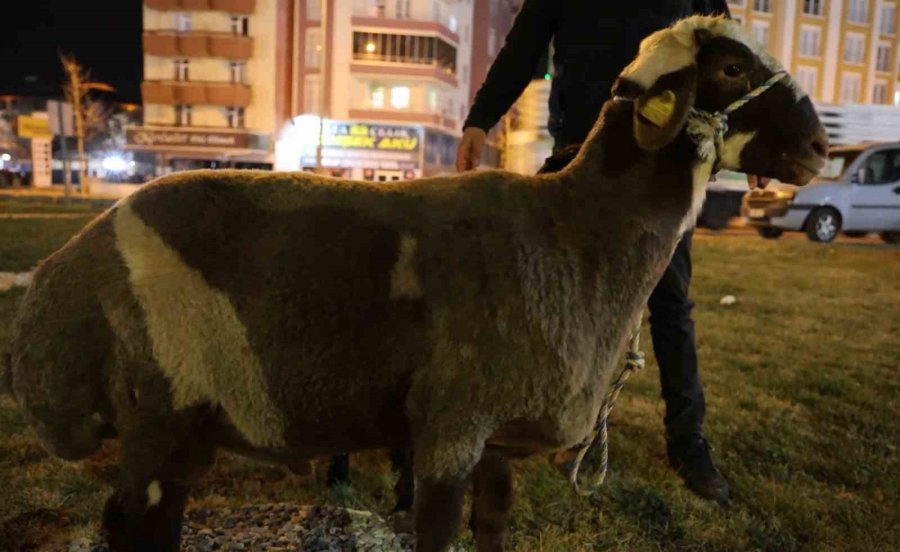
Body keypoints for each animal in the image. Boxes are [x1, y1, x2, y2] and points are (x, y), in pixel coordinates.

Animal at [3, 17, 828, 552]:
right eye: (730, 69)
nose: (821, 149)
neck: (575, 230)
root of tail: (59, 272)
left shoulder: (497, 439)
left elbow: (491, 531)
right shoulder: (449, 430)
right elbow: (434, 535)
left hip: (181, 427)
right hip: (154, 413)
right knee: (127, 524)